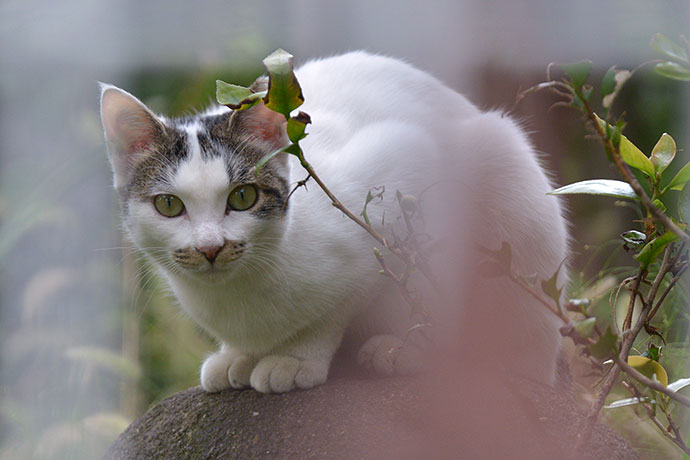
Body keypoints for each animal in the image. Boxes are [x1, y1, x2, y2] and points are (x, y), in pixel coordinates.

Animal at [101, 52, 564, 394]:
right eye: (168, 205)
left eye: (242, 197)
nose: (210, 248)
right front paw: (237, 355)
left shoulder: (405, 162)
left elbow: (343, 303)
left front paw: (296, 356)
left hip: (504, 169)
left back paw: (408, 350)